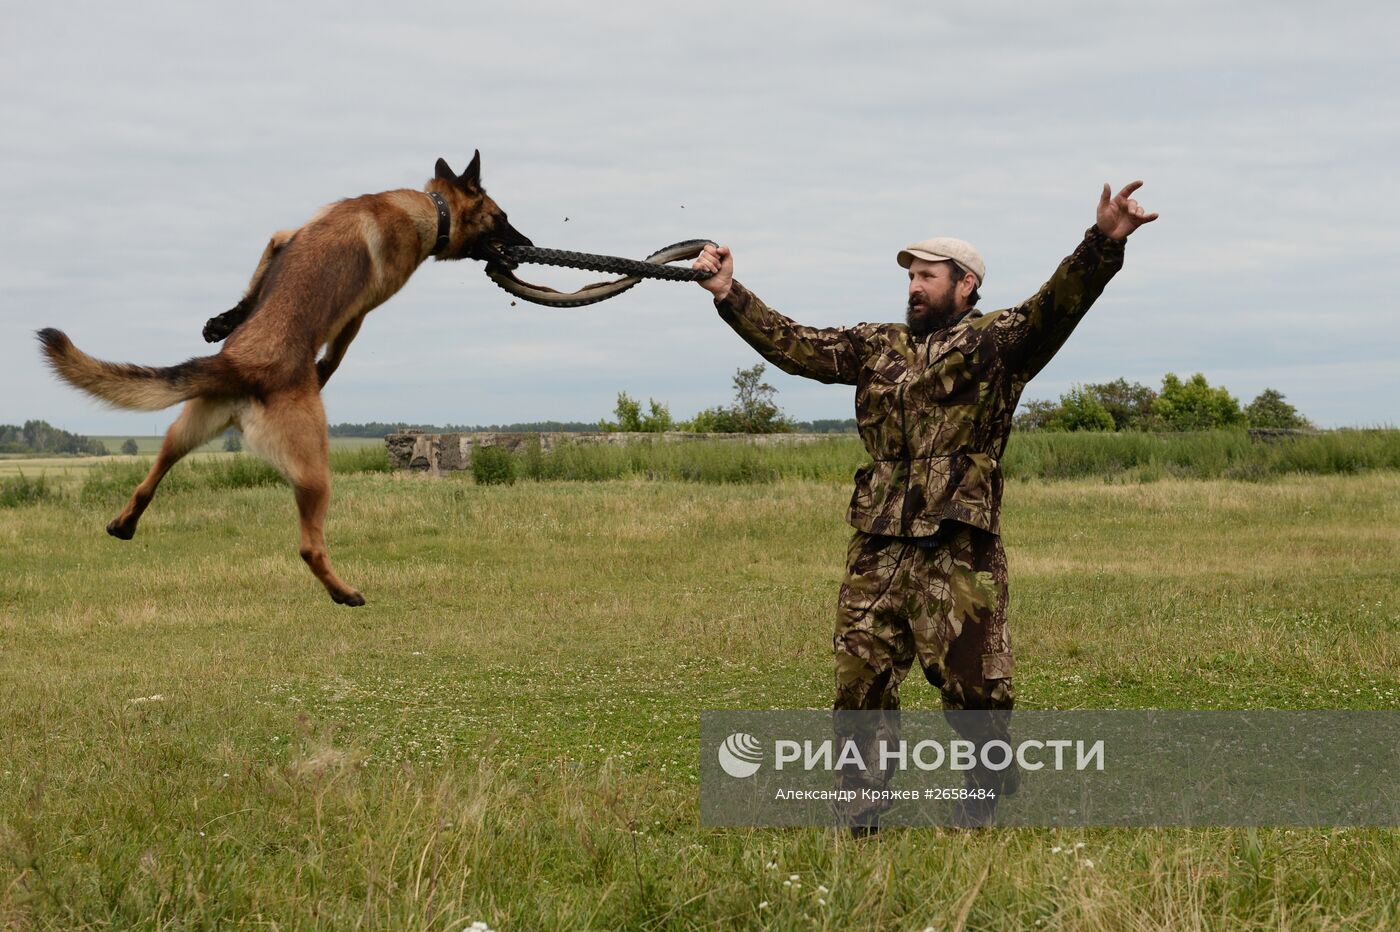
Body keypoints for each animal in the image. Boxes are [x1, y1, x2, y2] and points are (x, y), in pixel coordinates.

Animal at [39, 149, 529, 607]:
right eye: (501, 217)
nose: (526, 244)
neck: (429, 207)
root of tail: (243, 366)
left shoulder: (282, 237)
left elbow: (253, 288)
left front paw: (221, 322)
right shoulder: (360, 310)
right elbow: (336, 354)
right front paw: (320, 371)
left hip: (186, 429)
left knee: (149, 478)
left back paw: (124, 523)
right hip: (314, 469)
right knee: (309, 547)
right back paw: (344, 593)